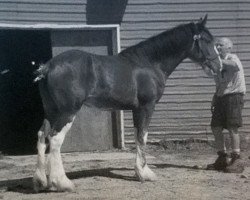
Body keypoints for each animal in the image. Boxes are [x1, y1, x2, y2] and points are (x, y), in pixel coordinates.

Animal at [32, 14, 221, 193]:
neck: (149, 63)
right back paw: (62, 183)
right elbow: (143, 136)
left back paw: (41, 182)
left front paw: (141, 171)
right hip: (67, 112)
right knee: (55, 140)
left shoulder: (136, 110)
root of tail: (48, 67)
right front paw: (145, 173)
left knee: (42, 136)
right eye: (207, 40)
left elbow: (138, 136)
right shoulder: (147, 107)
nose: (218, 66)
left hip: (52, 111)